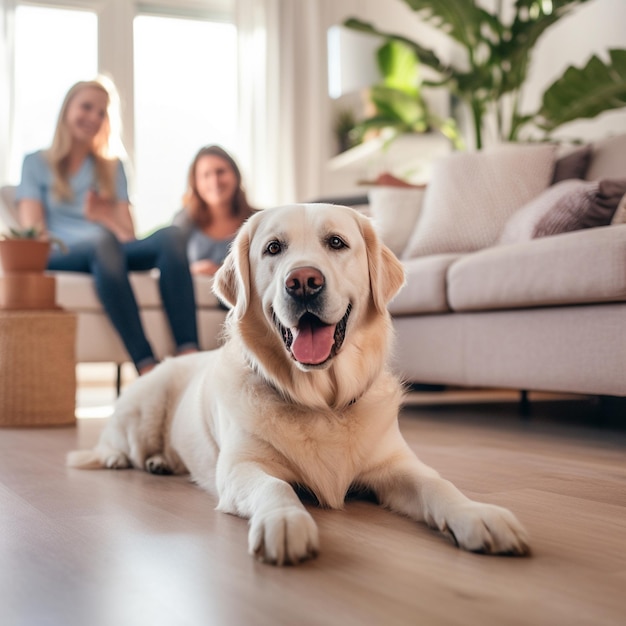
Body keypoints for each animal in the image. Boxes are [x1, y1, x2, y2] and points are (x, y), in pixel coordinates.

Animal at [67, 204, 528, 560]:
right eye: (273, 248)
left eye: (337, 243)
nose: (303, 281)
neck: (321, 401)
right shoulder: (240, 468)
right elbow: (275, 487)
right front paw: (286, 522)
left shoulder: (396, 464)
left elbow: (439, 484)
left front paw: (478, 515)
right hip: (143, 410)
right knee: (116, 443)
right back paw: (125, 458)